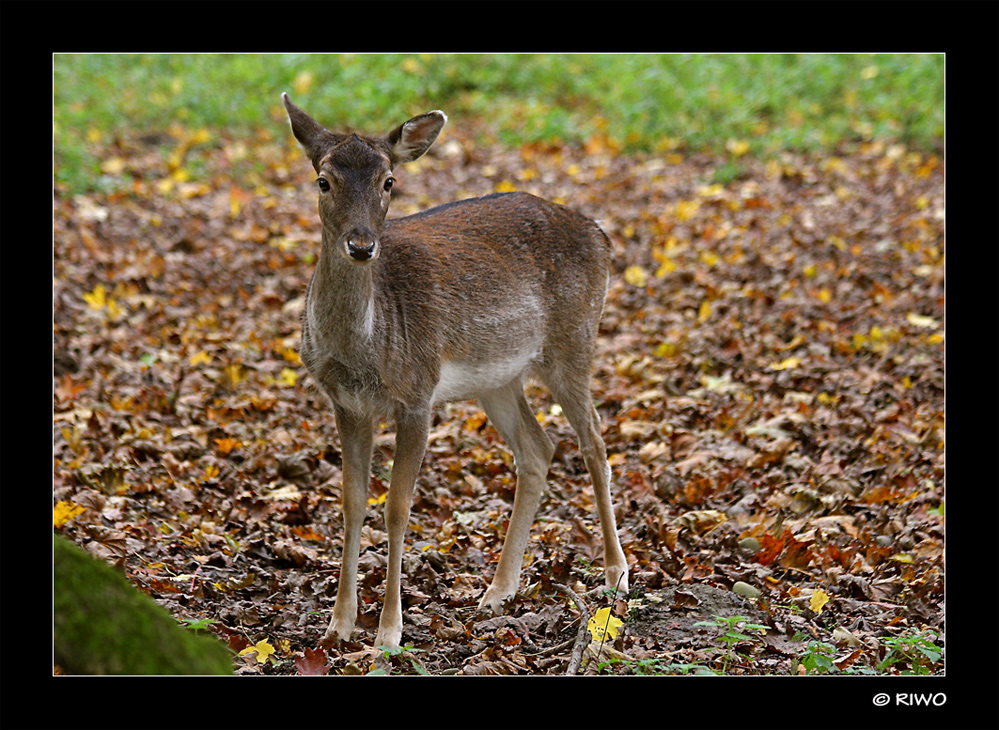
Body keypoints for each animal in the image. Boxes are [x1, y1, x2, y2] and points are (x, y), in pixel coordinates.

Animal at [278, 94, 628, 644]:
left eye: (388, 181)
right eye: (323, 180)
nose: (362, 245)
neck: (363, 350)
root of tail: (601, 234)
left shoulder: (417, 393)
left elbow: (397, 508)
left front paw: (388, 634)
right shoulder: (346, 403)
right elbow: (352, 502)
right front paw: (338, 625)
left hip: (574, 340)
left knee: (594, 441)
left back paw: (617, 575)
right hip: (499, 378)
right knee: (538, 447)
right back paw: (498, 590)